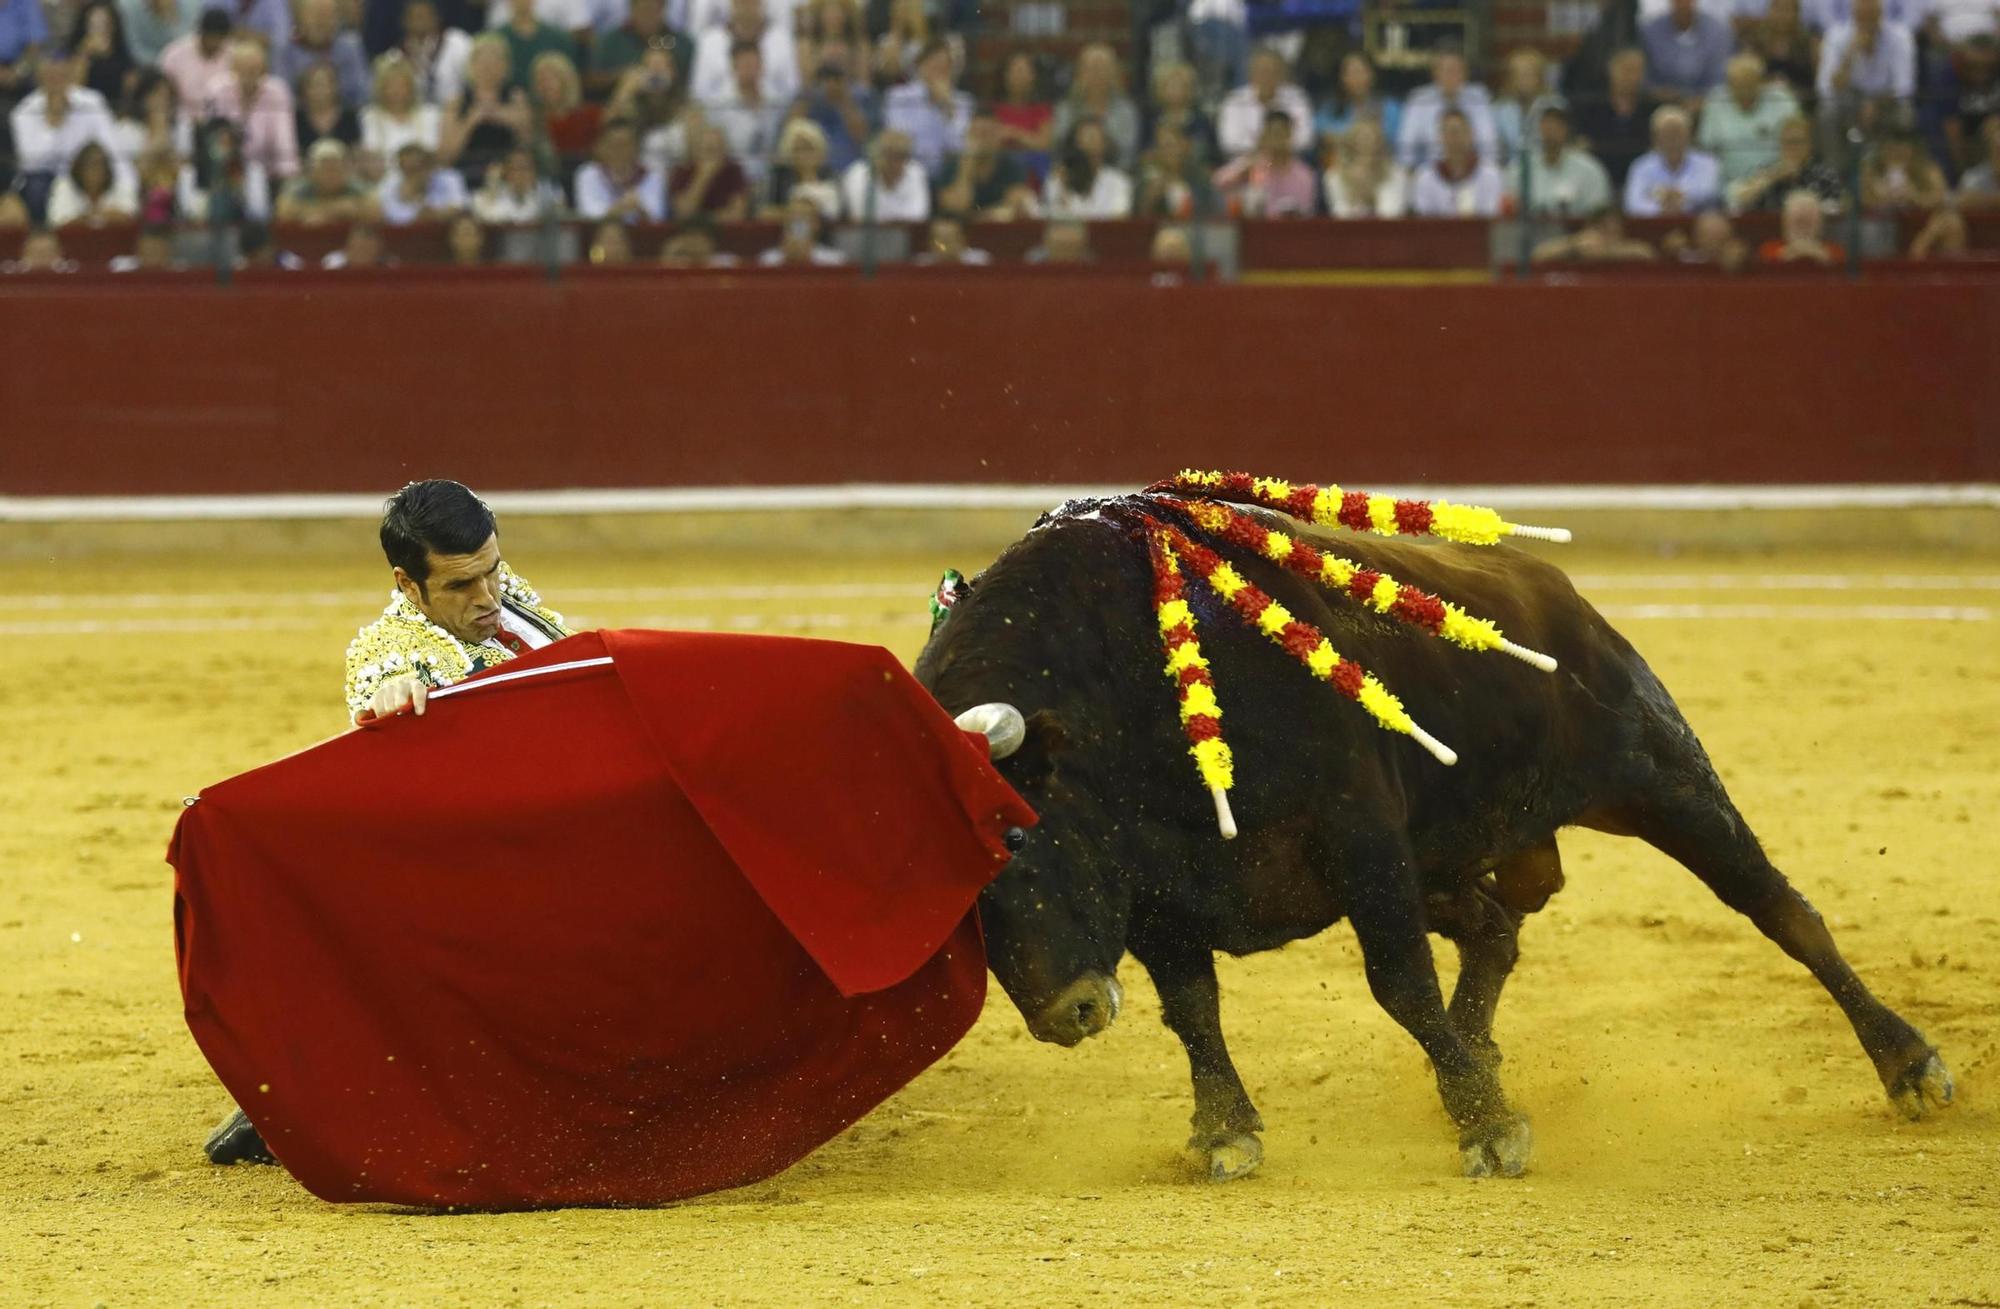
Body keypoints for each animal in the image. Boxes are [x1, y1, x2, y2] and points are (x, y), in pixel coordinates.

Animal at [920, 500, 1952, 1176]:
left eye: (1018, 842)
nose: (1066, 1014)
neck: (1125, 678)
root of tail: (1555, 590)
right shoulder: (1161, 892)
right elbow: (1196, 1010)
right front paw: (1223, 1132)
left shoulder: (1360, 837)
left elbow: (1399, 984)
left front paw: (1490, 1127)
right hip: (1448, 857)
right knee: (1496, 929)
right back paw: (1473, 1056)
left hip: (1660, 775)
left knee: (1781, 909)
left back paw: (1909, 1063)